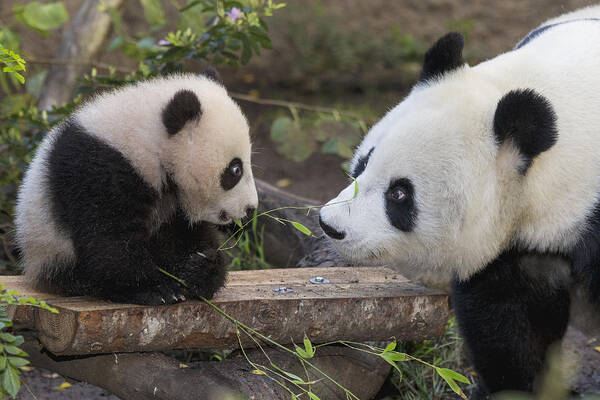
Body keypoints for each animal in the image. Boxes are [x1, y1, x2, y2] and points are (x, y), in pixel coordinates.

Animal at [15, 72, 256, 306]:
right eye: (235, 169)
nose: (251, 208)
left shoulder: (173, 201)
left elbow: (183, 234)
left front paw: (201, 268)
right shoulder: (98, 170)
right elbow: (109, 239)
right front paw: (156, 290)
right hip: (48, 247)